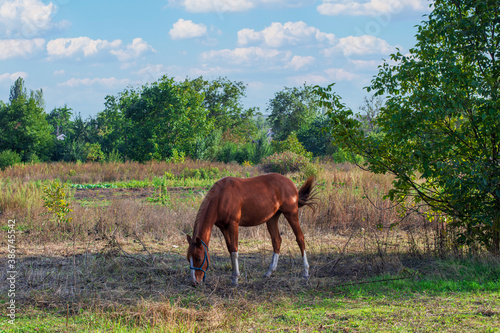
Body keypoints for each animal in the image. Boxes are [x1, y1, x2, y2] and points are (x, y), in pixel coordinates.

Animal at [186, 172, 314, 284]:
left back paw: (306, 272)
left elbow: (234, 249)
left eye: (198, 258)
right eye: (188, 258)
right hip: (272, 218)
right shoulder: (223, 227)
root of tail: (291, 183)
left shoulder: (233, 224)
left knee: (300, 238)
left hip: (291, 214)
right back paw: (269, 272)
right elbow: (230, 249)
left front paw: (235, 278)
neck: (221, 196)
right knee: (277, 241)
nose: (194, 282)